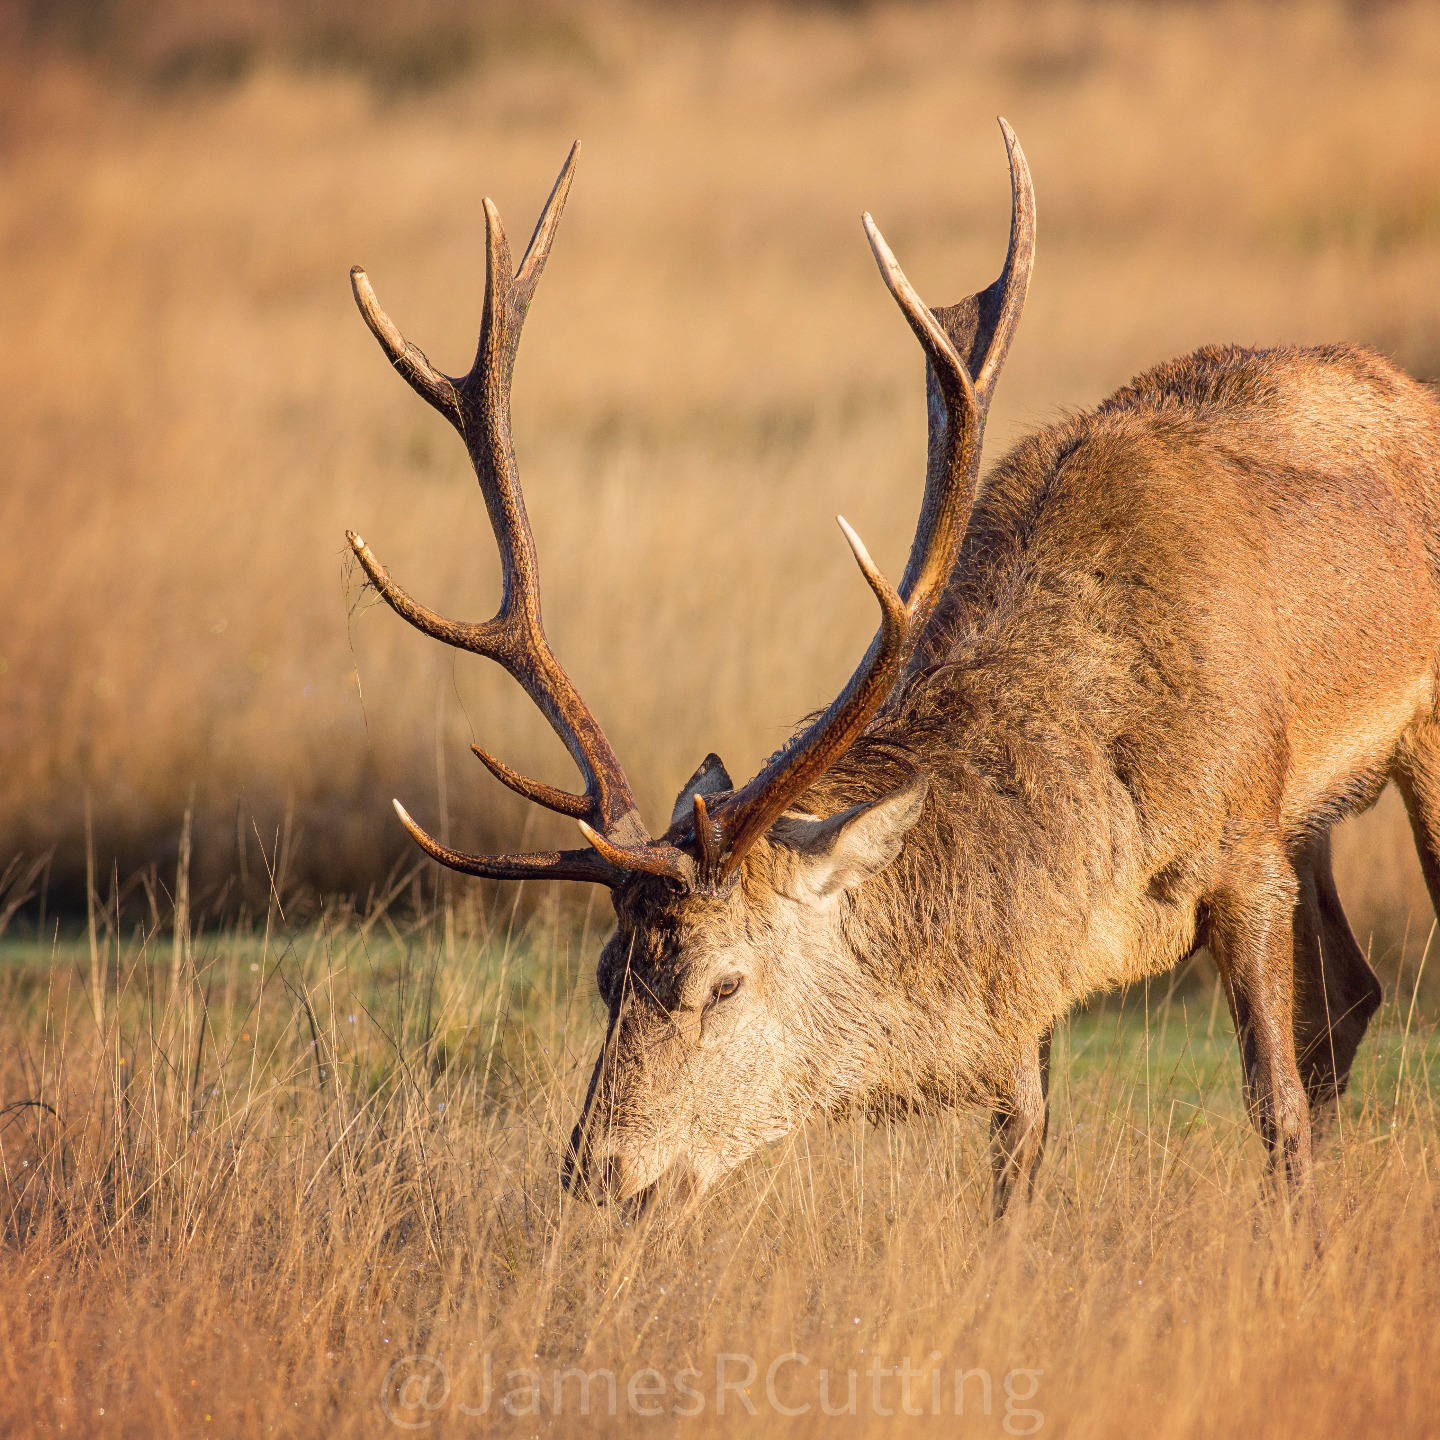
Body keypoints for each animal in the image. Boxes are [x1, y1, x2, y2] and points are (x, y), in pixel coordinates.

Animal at [346, 123, 1440, 1223]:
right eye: (608, 974)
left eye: (724, 981)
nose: (600, 1174)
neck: (1105, 824)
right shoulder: (1033, 976)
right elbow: (1019, 1147)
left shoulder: (1244, 856)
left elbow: (1274, 1105)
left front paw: (1296, 1237)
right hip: (1313, 818)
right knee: (1351, 995)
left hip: (1407, 745)